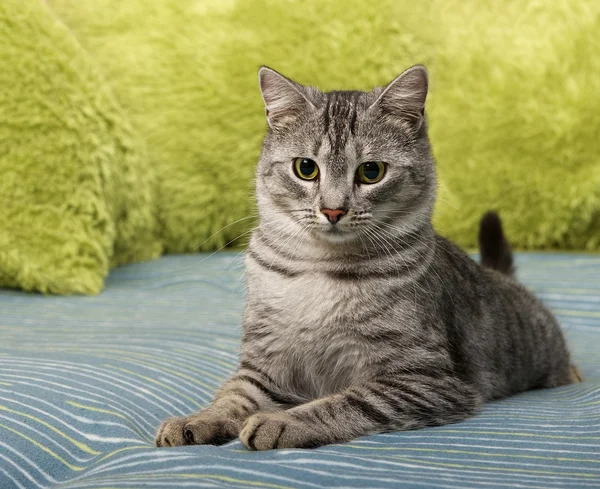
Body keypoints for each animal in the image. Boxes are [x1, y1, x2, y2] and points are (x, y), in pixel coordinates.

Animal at [156, 63, 580, 450]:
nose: (333, 209)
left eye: (371, 171)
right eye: (305, 168)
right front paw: (196, 420)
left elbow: (346, 401)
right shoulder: (264, 363)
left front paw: (281, 422)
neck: (319, 269)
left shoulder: (426, 379)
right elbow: (233, 394)